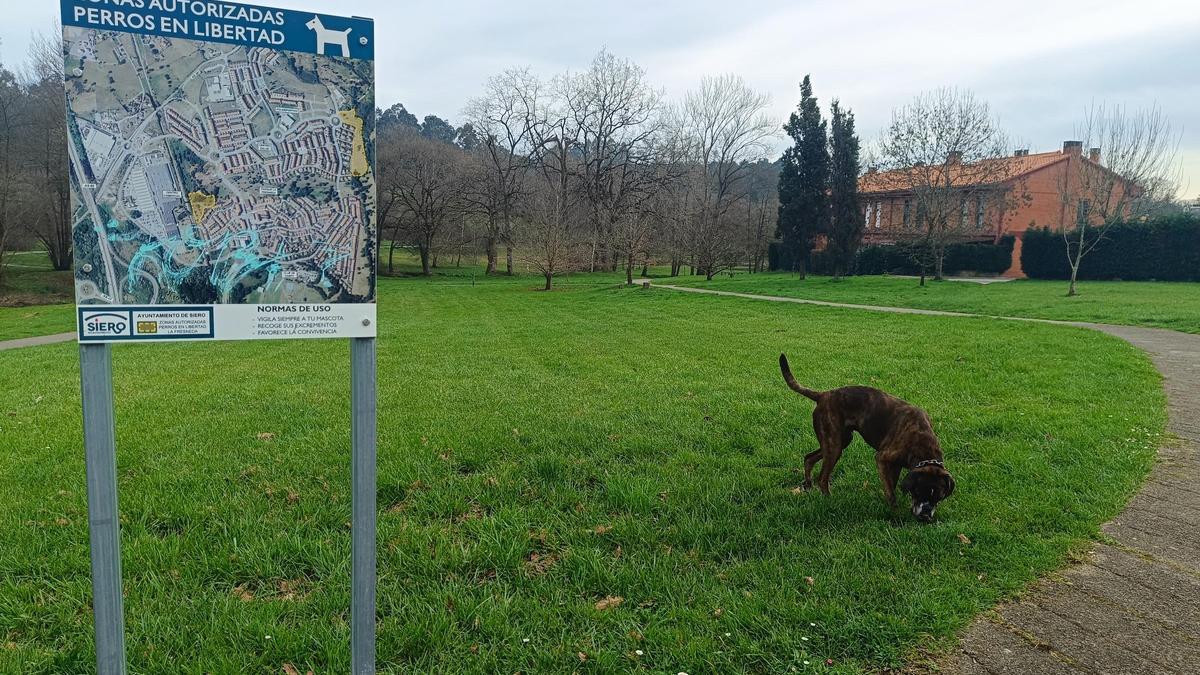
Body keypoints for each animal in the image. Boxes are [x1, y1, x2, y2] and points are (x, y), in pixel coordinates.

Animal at [777, 353, 955, 521]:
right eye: (918, 492)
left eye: (939, 498)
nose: (925, 514)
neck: (923, 444)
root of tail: (824, 395)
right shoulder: (882, 458)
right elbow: (891, 492)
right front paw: (895, 512)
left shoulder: (894, 464)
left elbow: (891, 484)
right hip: (834, 445)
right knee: (822, 478)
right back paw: (829, 499)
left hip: (839, 442)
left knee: (809, 458)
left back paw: (808, 485)